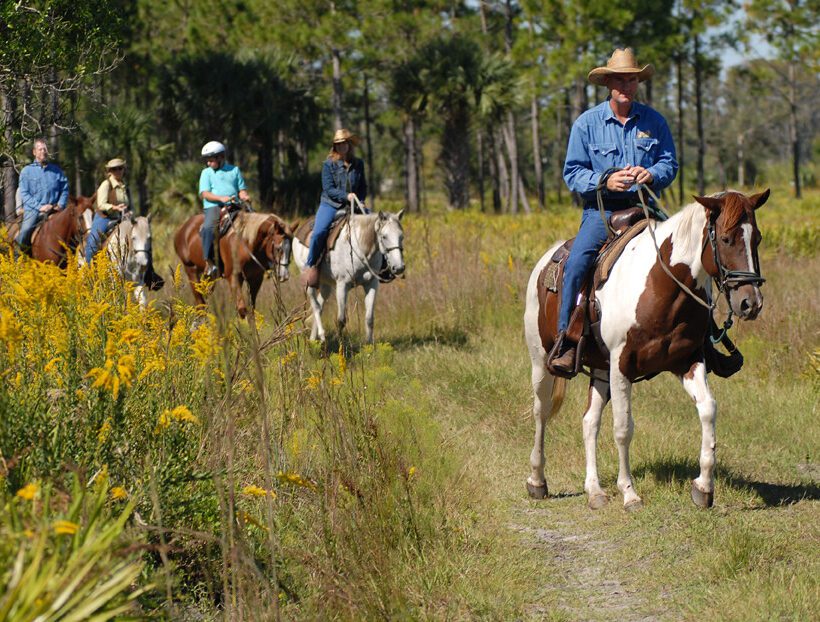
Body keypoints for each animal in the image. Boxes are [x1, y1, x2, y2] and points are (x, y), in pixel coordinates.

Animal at [294, 212, 406, 344]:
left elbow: (369, 318)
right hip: (309, 282)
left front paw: (369, 345)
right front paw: (341, 345)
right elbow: (341, 320)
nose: (399, 267)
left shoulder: (372, 284)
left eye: (401, 237)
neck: (362, 250)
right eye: (384, 237)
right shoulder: (342, 285)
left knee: (320, 306)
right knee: (316, 307)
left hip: (325, 285)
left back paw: (314, 340)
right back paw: (321, 335)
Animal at [524, 189, 768, 512]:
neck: (662, 285)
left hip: (601, 369)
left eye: (758, 239)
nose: (751, 303)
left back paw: (594, 490)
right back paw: (537, 481)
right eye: (726, 239)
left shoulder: (687, 361)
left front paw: (703, 487)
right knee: (541, 412)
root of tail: (544, 262)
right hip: (541, 361)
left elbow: (707, 409)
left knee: (589, 421)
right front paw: (629, 493)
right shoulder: (621, 365)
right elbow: (623, 428)